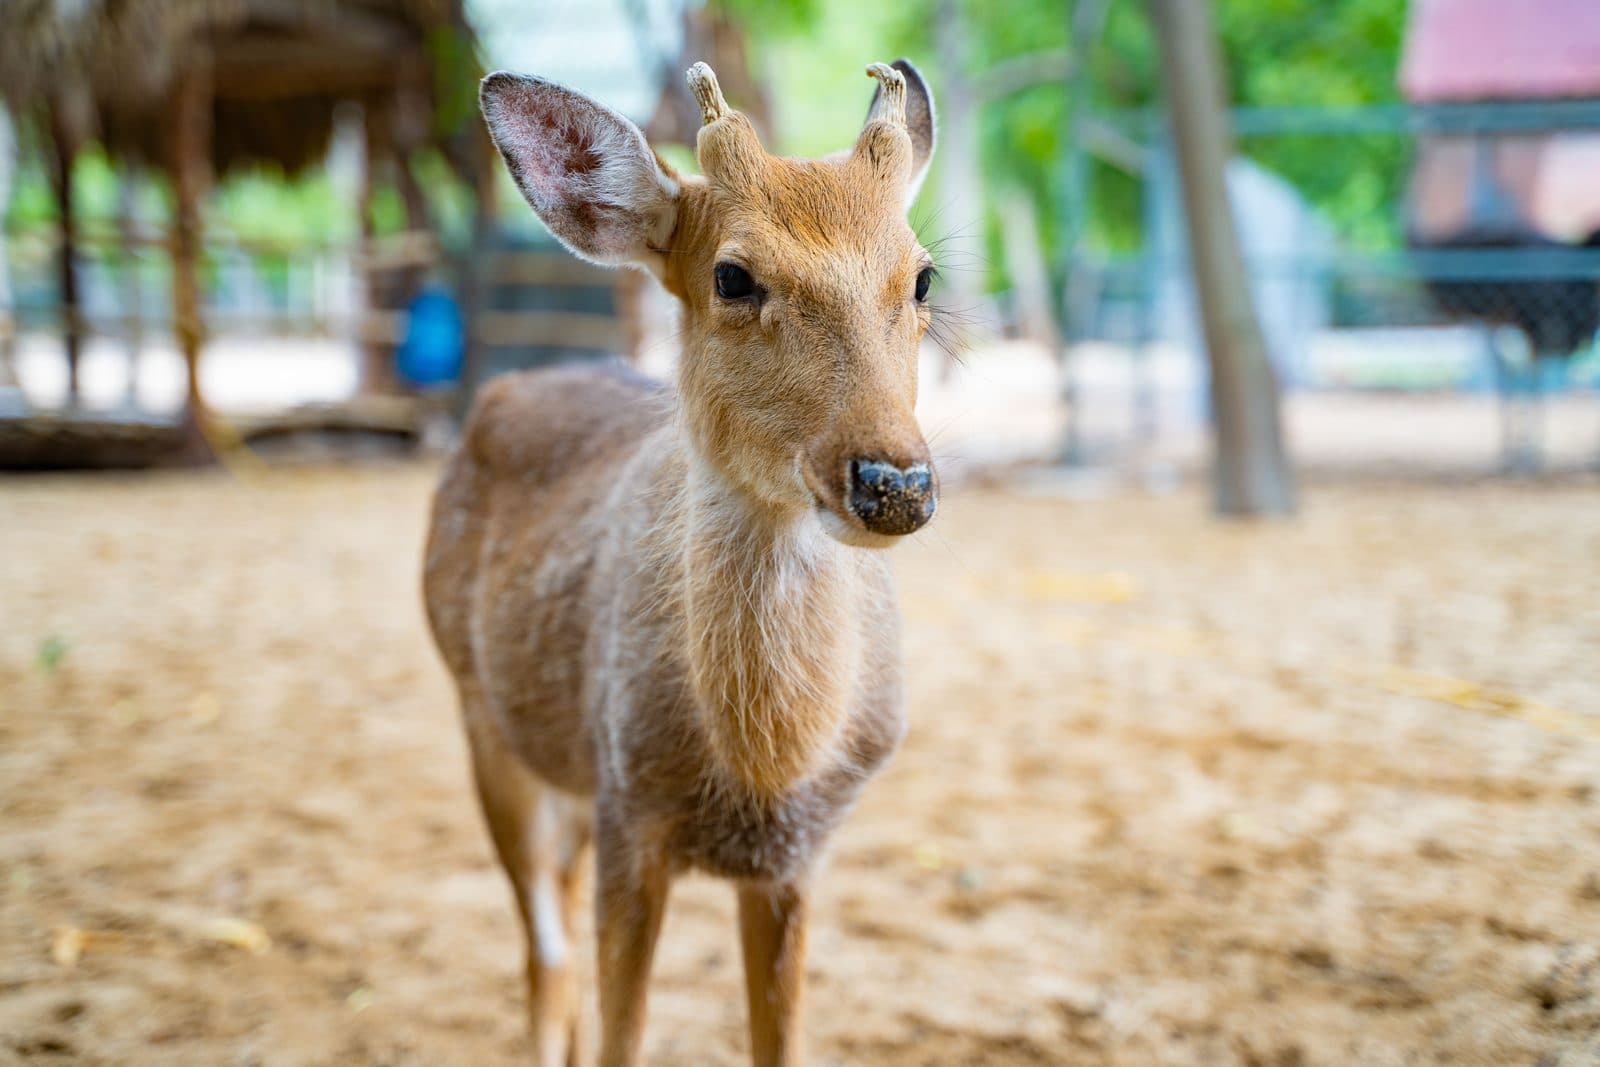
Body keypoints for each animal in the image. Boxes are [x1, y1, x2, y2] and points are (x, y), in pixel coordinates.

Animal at [422, 57, 939, 1067]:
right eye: (732, 275)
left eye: (924, 276)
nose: (894, 480)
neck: (763, 769)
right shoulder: (631, 808)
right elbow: (620, 1034)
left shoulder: (799, 854)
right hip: (482, 714)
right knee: (546, 954)